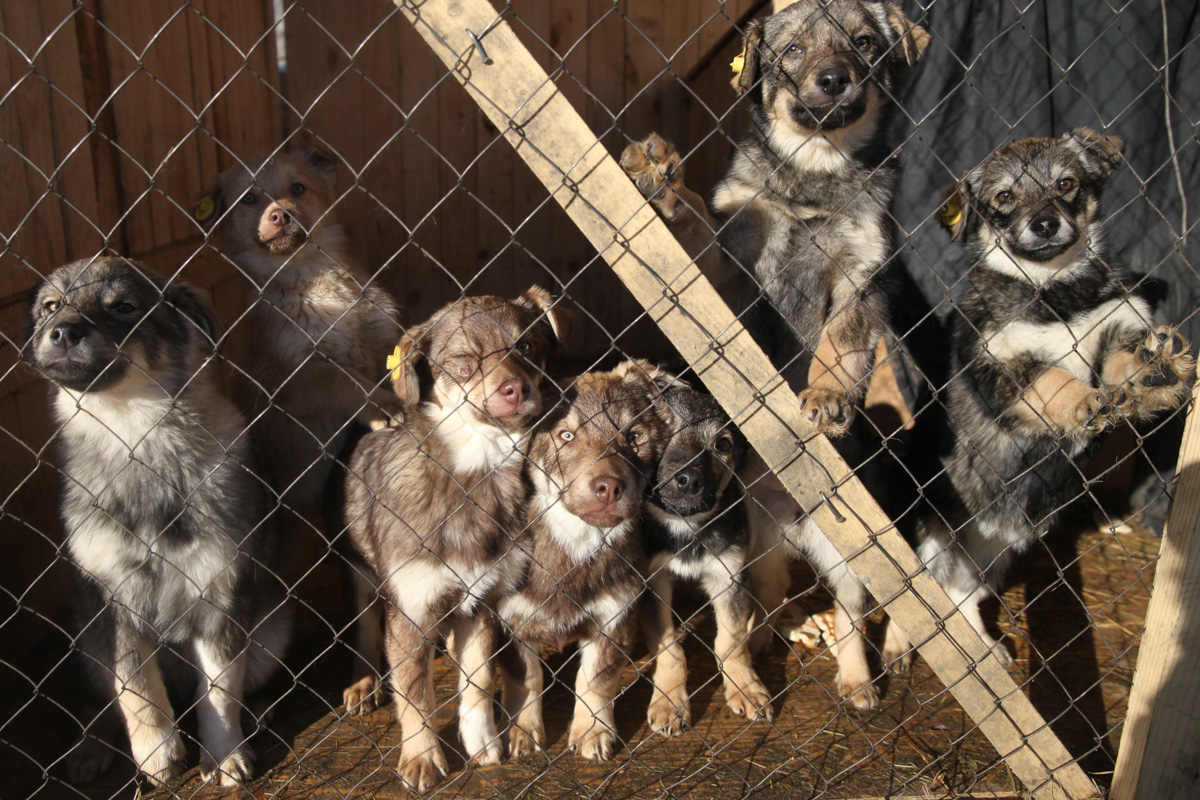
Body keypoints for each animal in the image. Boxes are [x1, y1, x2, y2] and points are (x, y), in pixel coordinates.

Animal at [22, 257, 289, 786]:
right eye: (51, 306)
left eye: (123, 307)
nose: (62, 332)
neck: (135, 435)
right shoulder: (113, 602)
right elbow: (137, 690)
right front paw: (157, 755)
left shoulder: (219, 592)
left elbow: (219, 693)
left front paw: (224, 754)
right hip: (88, 642)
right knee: (103, 703)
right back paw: (91, 747)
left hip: (270, 633)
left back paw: (259, 711)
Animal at [340, 287, 568, 796]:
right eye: (464, 363)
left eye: (526, 347)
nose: (516, 389)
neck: (476, 473)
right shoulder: (409, 612)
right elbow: (416, 696)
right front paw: (422, 757)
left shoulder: (481, 603)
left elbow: (478, 681)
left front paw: (482, 742)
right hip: (363, 576)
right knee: (365, 628)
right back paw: (364, 682)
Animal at [643, 383, 772, 734]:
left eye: (723, 444)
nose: (689, 480)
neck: (686, 528)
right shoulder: (652, 582)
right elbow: (668, 645)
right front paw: (669, 701)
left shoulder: (730, 576)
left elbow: (731, 640)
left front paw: (745, 687)